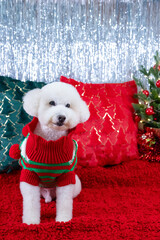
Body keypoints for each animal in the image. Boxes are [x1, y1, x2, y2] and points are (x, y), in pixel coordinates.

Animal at [18, 82, 90, 225]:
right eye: (51, 102)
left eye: (68, 105)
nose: (62, 117)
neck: (51, 141)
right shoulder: (29, 176)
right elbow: (31, 203)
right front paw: (31, 221)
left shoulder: (66, 177)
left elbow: (65, 202)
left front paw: (63, 220)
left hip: (76, 185)